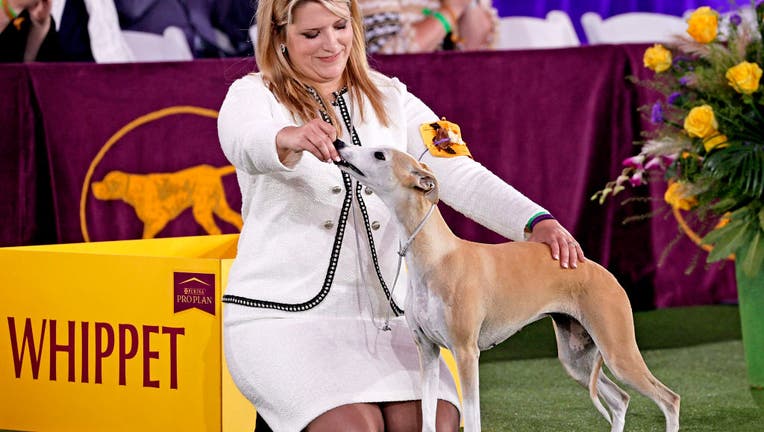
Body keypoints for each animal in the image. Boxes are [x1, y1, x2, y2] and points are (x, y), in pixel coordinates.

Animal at [334, 140, 680, 430]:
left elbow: (473, 419)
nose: (338, 143)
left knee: (669, 399)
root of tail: (599, 270)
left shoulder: (465, 352)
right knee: (621, 400)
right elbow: (428, 418)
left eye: (380, 154)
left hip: (618, 352)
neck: (437, 256)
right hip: (577, 358)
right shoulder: (428, 351)